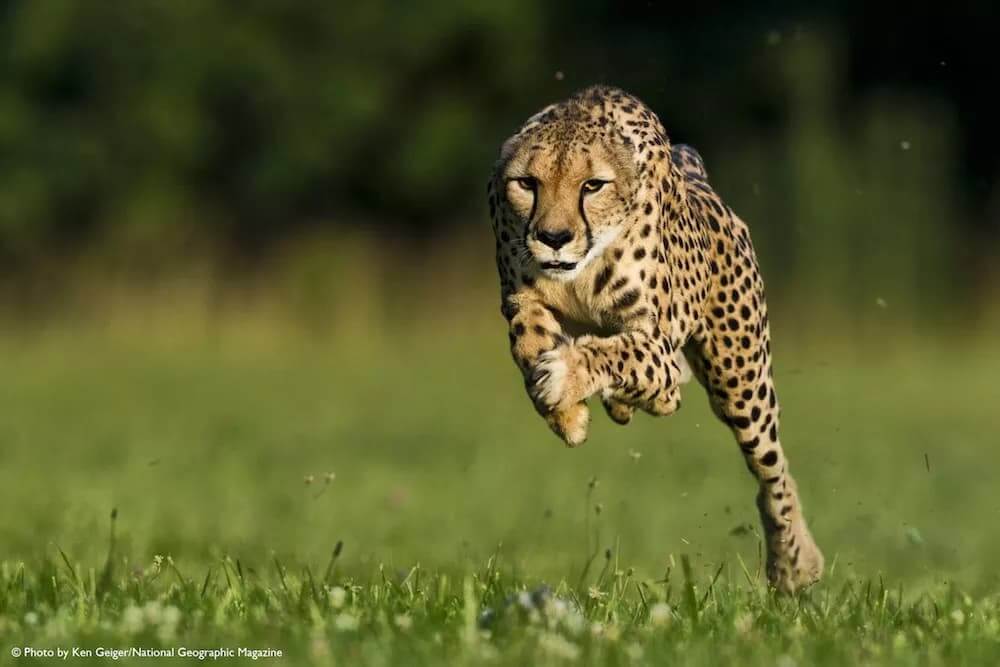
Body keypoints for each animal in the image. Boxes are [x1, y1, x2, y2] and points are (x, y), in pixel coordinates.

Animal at [486, 85, 823, 593]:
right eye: (527, 183)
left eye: (592, 185)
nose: (554, 237)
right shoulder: (522, 298)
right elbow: (528, 341)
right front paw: (566, 415)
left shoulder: (656, 344)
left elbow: (620, 352)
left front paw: (565, 378)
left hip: (740, 381)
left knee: (772, 469)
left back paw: (794, 563)